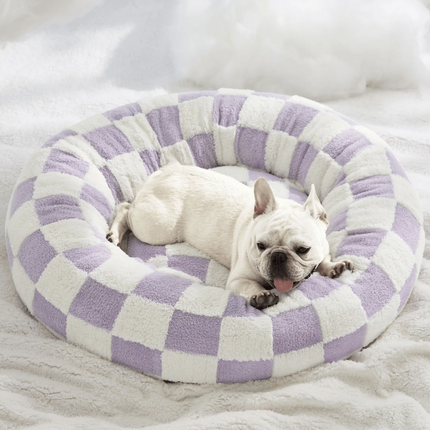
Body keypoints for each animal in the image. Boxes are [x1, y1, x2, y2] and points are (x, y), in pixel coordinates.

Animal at [106, 165, 352, 310]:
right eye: (260, 246)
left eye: (303, 249)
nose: (278, 257)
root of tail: (165, 170)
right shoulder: (238, 280)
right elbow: (250, 285)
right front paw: (260, 296)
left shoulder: (323, 248)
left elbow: (324, 260)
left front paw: (333, 267)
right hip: (156, 226)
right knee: (126, 208)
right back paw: (114, 234)